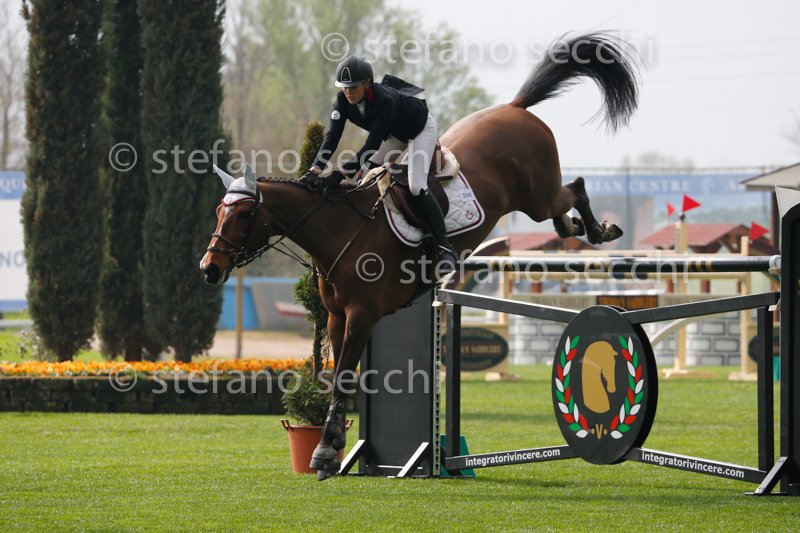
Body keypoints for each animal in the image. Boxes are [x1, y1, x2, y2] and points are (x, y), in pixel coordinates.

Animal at [199, 33, 639, 479]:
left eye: (244, 214)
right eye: (219, 211)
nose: (209, 268)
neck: (340, 231)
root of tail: (515, 108)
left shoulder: (362, 314)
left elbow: (342, 378)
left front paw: (323, 452)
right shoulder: (338, 317)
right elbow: (337, 376)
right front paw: (334, 449)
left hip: (536, 194)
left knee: (576, 186)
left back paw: (601, 230)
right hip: (535, 198)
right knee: (563, 208)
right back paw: (574, 228)